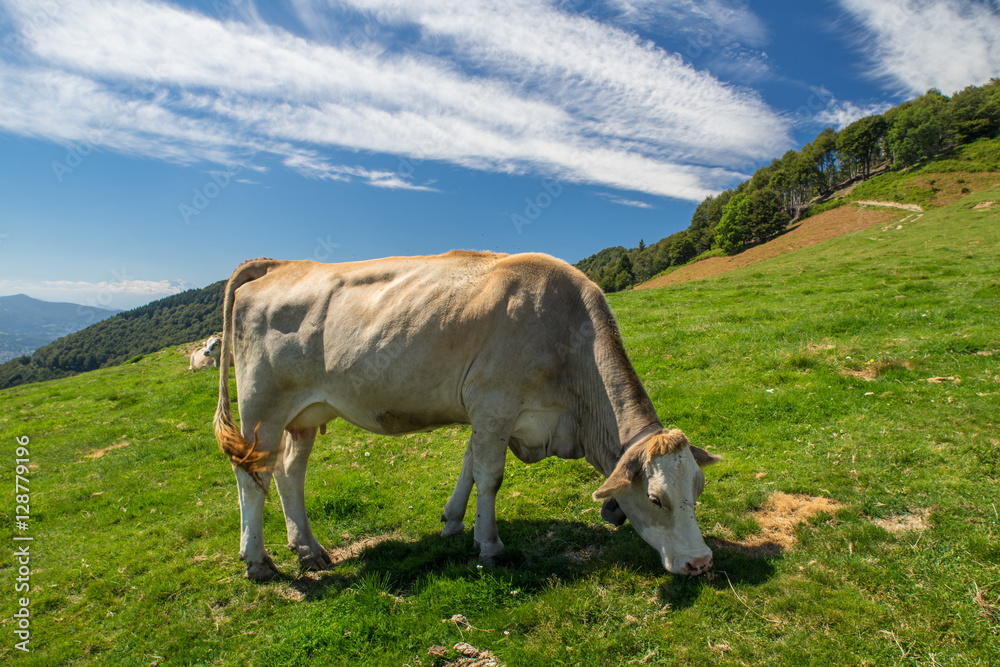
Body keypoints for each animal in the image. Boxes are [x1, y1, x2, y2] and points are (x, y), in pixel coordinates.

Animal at [214, 251, 721, 580]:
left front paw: (454, 522)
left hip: (303, 413)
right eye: (656, 499)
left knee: (289, 472)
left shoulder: (488, 413)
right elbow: (490, 476)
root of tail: (280, 265)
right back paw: (258, 562)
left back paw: (308, 549)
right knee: (251, 478)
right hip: (261, 410)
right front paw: (489, 544)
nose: (700, 562)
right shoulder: (494, 403)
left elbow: (470, 467)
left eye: (697, 488)